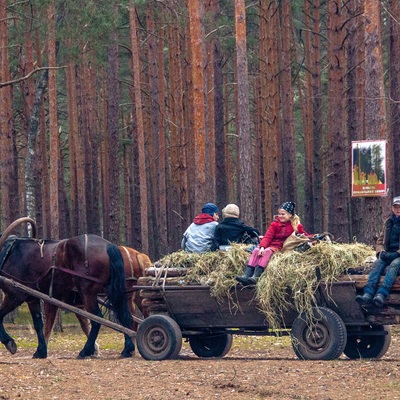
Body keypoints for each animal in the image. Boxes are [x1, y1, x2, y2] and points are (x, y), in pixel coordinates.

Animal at [0, 219, 134, 360]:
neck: (9, 253)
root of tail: (109, 246)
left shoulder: (15, 294)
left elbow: (0, 316)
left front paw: (9, 342)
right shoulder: (32, 298)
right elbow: (38, 324)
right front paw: (41, 351)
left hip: (87, 292)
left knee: (97, 319)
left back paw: (85, 351)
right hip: (112, 290)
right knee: (123, 315)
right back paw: (127, 349)